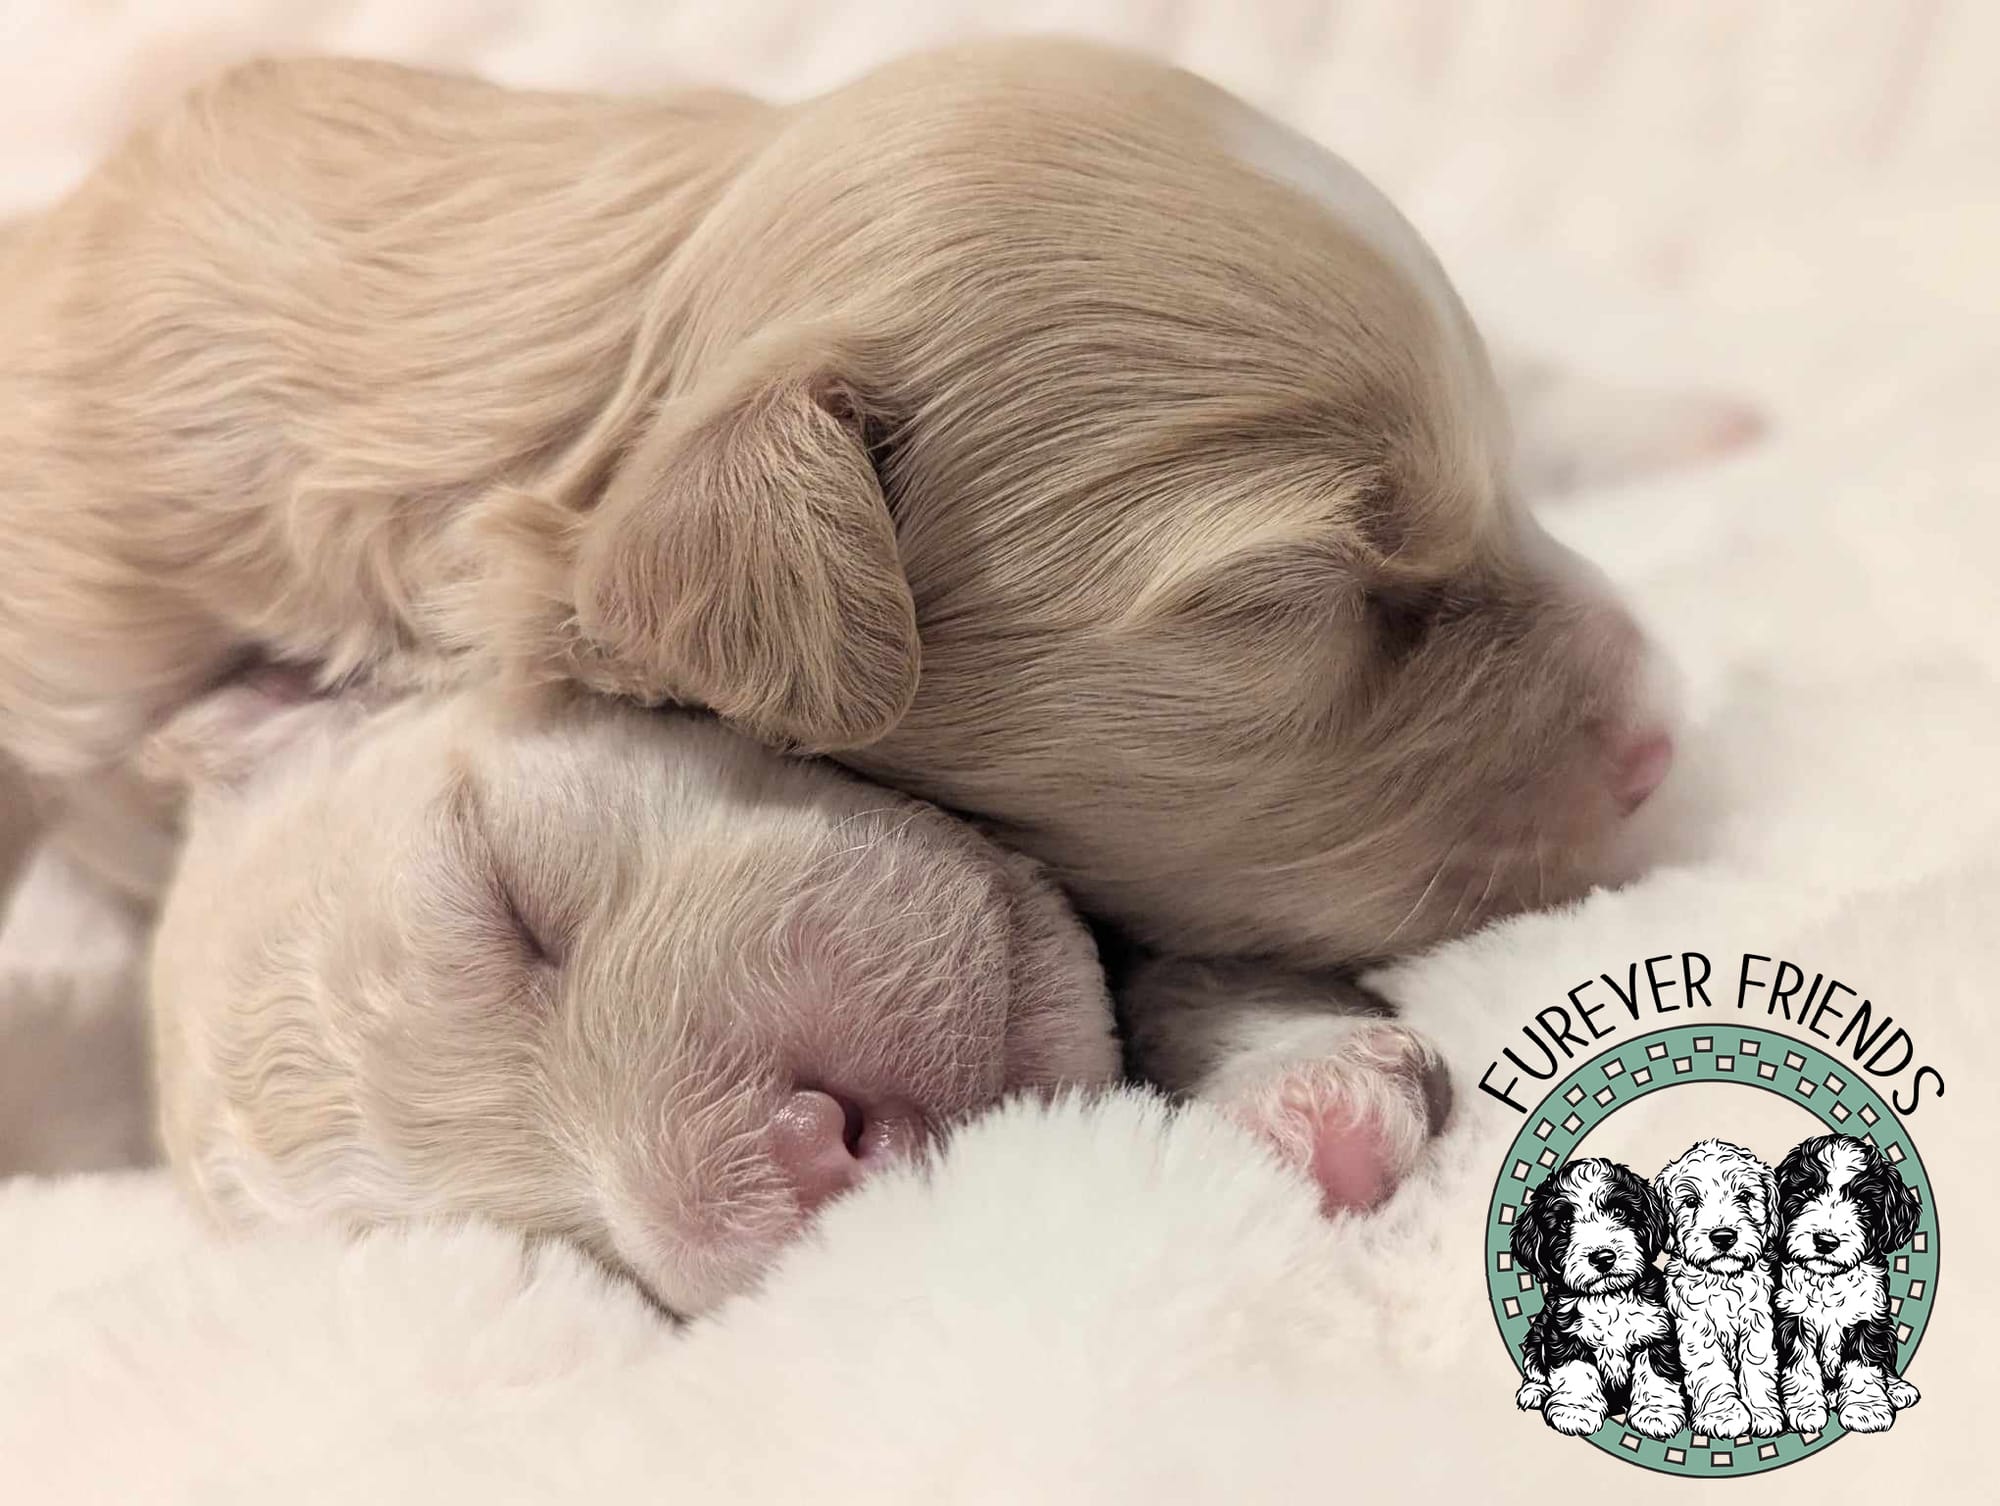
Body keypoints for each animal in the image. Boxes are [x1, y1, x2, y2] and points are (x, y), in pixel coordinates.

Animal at [1510, 1158, 1687, 1439]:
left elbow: (1655, 1372)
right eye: (1564, 1223)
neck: (1608, 1297)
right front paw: (1575, 1412)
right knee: (1534, 1365)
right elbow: (1576, 1372)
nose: (1603, 1257)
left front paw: (1656, 1414)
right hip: (1537, 1332)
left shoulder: (1656, 1330)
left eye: (1620, 1212)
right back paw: (1534, 1391)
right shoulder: (1563, 1334)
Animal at [1656, 1139, 1785, 1437]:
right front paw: (1724, 1417)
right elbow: (1711, 1369)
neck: (1723, 1280)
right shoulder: (1696, 1326)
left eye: (1745, 1196)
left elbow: (1757, 1366)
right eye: (1691, 1201)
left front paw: (1763, 1414)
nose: (1723, 1237)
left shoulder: (1757, 1321)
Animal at [1773, 1134, 1923, 1433]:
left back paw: (1897, 1389)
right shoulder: (1790, 1315)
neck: (1828, 1280)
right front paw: (1806, 1411)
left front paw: (1867, 1412)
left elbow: (1863, 1364)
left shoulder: (1868, 1315)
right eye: (1809, 1192)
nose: (1825, 1241)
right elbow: (1801, 1365)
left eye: (1862, 1203)